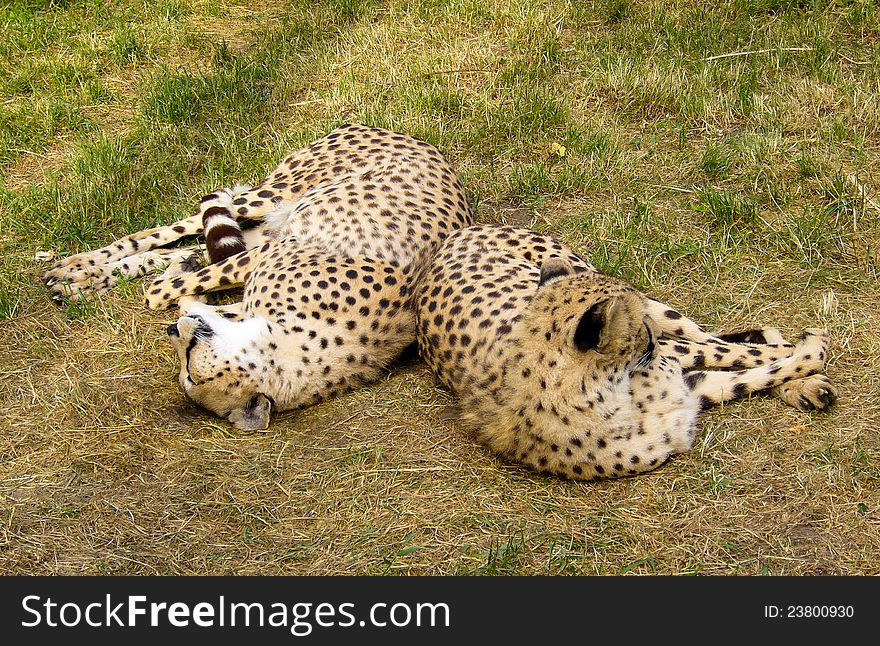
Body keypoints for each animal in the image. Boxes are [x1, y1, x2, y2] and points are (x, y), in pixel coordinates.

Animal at [416, 225, 836, 478]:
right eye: (638, 329)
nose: (651, 335)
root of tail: (461, 232)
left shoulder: (680, 373)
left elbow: (753, 360)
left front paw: (805, 351)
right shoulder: (691, 391)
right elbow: (755, 370)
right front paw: (812, 348)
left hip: (628, 294)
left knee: (710, 334)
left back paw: (803, 377)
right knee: (719, 342)